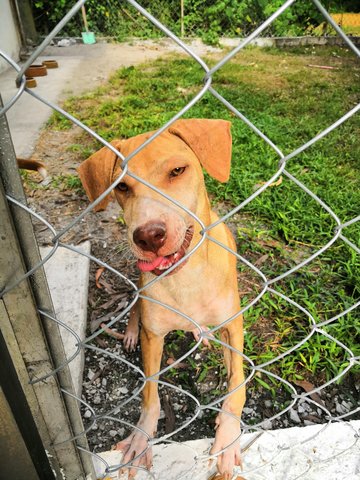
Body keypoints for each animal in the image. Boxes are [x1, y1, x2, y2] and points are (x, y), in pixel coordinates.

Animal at [79, 120, 246, 480]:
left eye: (177, 171)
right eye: (122, 187)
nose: (148, 236)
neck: (185, 279)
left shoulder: (234, 326)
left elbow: (236, 382)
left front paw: (227, 436)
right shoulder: (154, 336)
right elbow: (149, 393)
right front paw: (141, 436)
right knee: (135, 312)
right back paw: (130, 332)